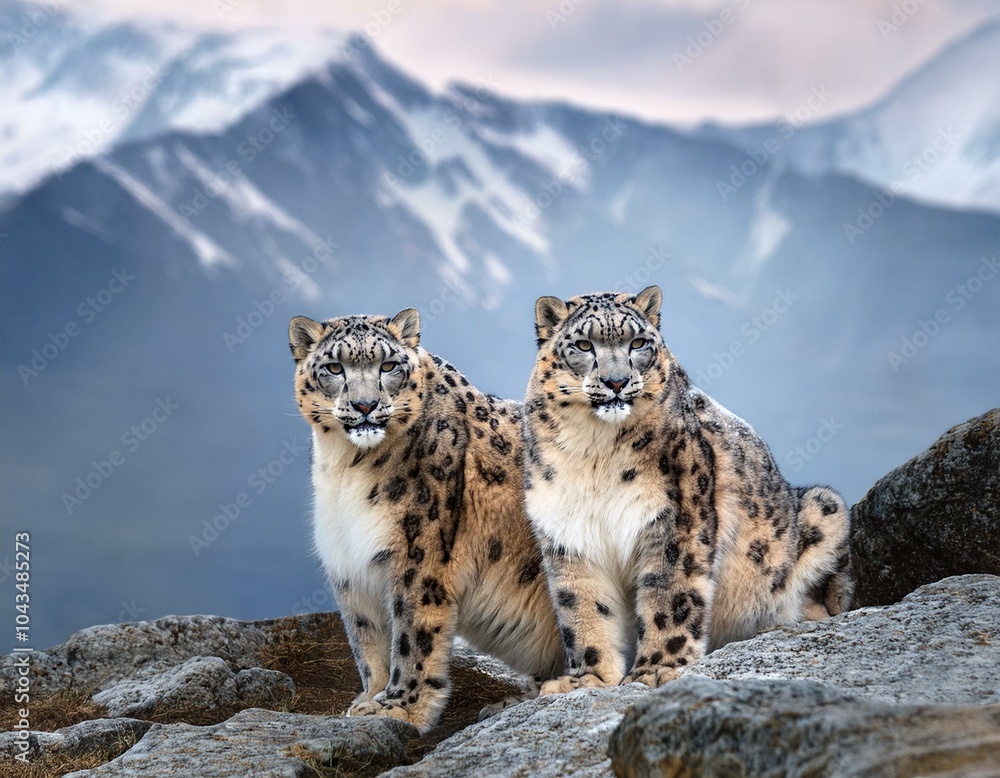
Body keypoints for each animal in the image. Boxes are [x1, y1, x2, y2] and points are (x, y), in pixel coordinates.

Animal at [289, 308, 563, 733]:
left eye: (388, 365)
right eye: (334, 367)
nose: (365, 405)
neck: (344, 467)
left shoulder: (417, 552)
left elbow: (412, 634)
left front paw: (400, 706)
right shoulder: (349, 562)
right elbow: (366, 637)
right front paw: (368, 698)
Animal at [521, 285, 853, 694]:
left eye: (638, 342)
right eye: (583, 344)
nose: (616, 381)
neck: (595, 451)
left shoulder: (678, 520)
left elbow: (670, 596)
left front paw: (656, 669)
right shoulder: (568, 533)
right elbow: (583, 607)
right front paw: (588, 679)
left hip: (824, 508)